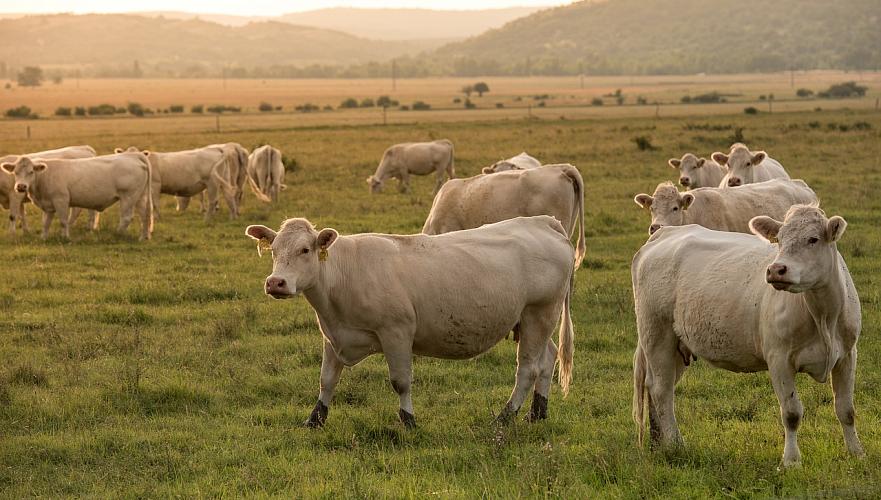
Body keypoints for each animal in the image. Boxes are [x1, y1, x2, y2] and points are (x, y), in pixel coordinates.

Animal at [0, 152, 153, 240]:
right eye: (15, 172)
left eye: (31, 172)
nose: (21, 187)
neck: (45, 175)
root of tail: (134, 155)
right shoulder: (48, 205)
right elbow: (46, 222)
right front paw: (43, 237)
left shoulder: (61, 200)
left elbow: (63, 220)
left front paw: (65, 237)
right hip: (140, 196)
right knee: (145, 216)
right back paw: (144, 237)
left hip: (128, 197)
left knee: (127, 217)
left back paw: (117, 234)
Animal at [246, 215, 576, 426]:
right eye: (274, 251)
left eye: (304, 250)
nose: (275, 283)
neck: (344, 274)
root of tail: (543, 222)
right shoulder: (334, 335)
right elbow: (326, 380)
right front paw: (315, 419)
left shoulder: (396, 332)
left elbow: (401, 382)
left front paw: (408, 420)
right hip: (534, 320)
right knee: (547, 359)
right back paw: (537, 413)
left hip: (539, 313)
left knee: (528, 369)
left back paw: (505, 417)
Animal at [632, 205, 868, 466]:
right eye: (779, 239)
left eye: (813, 239)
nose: (776, 269)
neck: (823, 316)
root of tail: (665, 233)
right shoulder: (779, 359)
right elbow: (792, 413)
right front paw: (791, 461)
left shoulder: (847, 355)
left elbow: (846, 409)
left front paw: (857, 453)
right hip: (656, 333)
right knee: (661, 389)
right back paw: (675, 444)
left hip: (677, 344)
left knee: (659, 388)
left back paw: (658, 443)